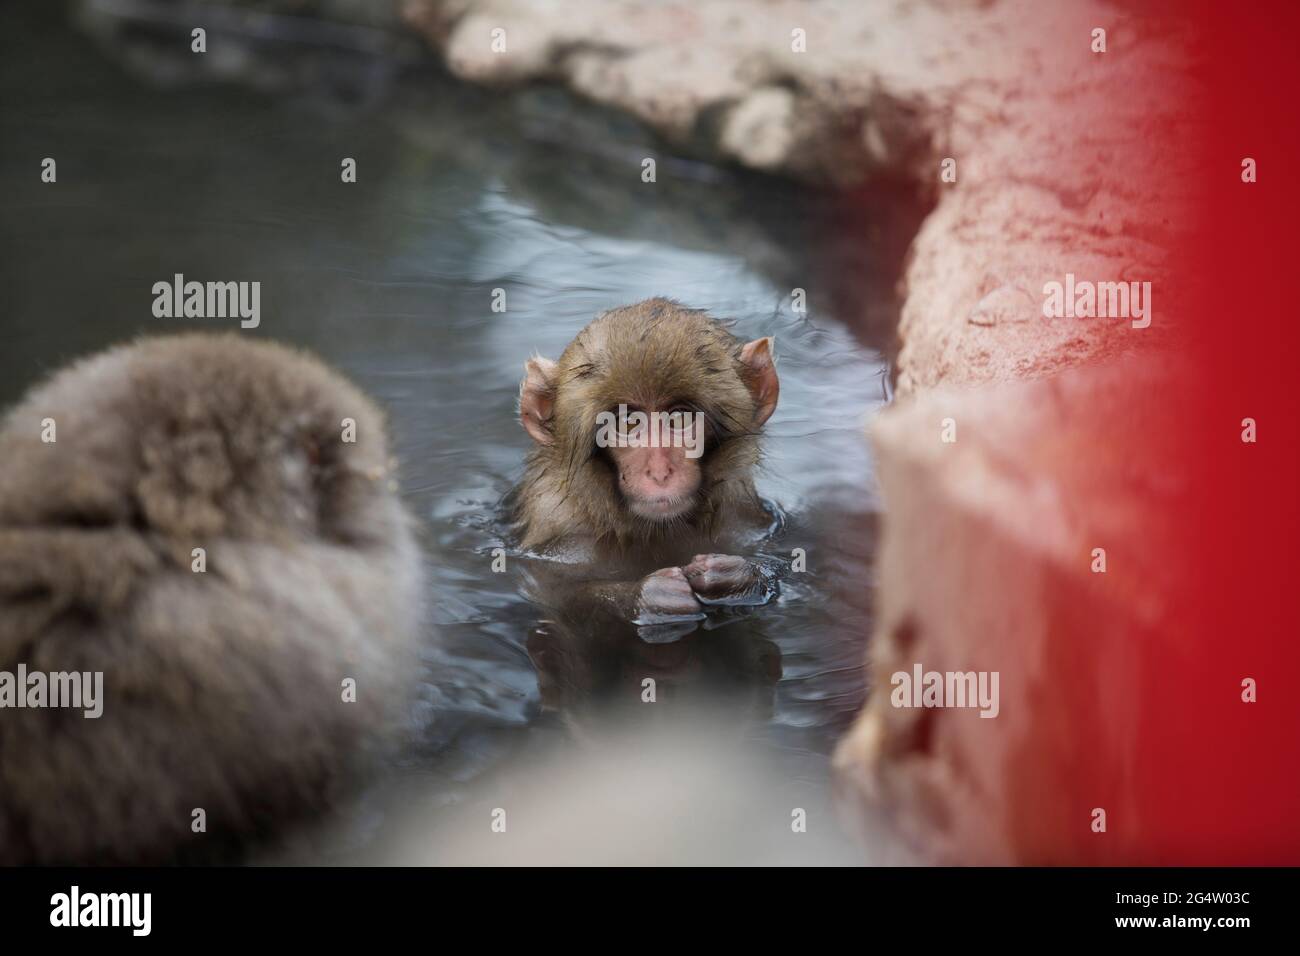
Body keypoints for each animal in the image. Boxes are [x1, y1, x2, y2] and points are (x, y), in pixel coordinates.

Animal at [509, 299, 780, 634]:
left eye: (679, 418)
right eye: (628, 423)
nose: (660, 471)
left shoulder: (749, 526)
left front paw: (734, 577)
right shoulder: (567, 547)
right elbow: (564, 597)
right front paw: (647, 596)